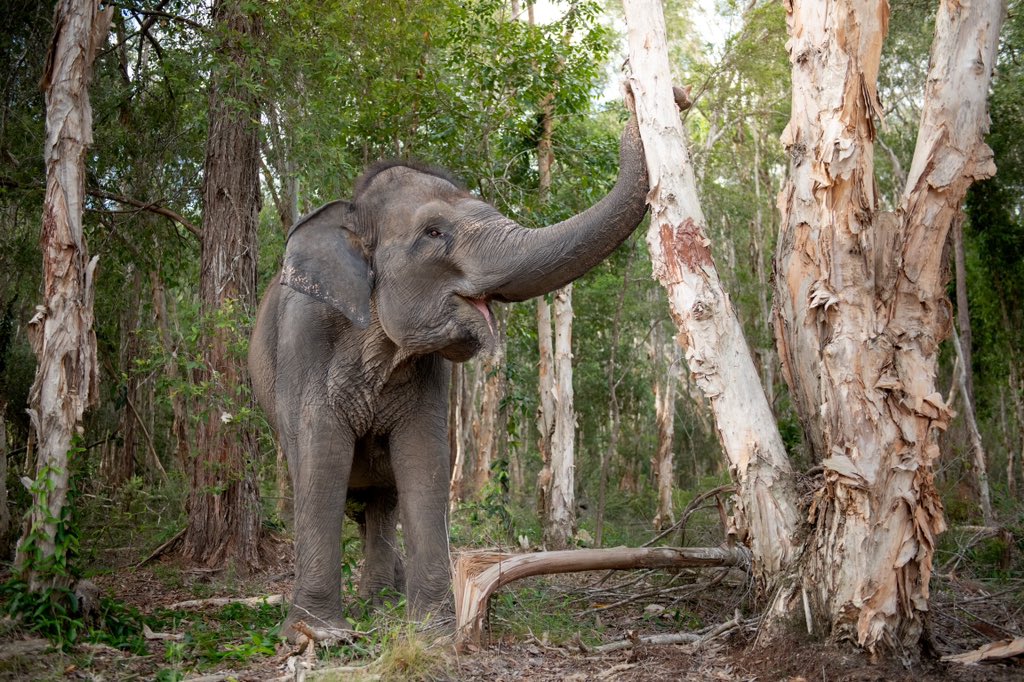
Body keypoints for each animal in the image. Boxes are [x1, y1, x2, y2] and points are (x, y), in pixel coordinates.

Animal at [249, 115, 649, 639]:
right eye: (434, 231)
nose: (634, 109)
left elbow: (426, 461)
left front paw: (432, 630)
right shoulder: (305, 344)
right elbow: (321, 459)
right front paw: (318, 633)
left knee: (381, 502)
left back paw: (382, 600)